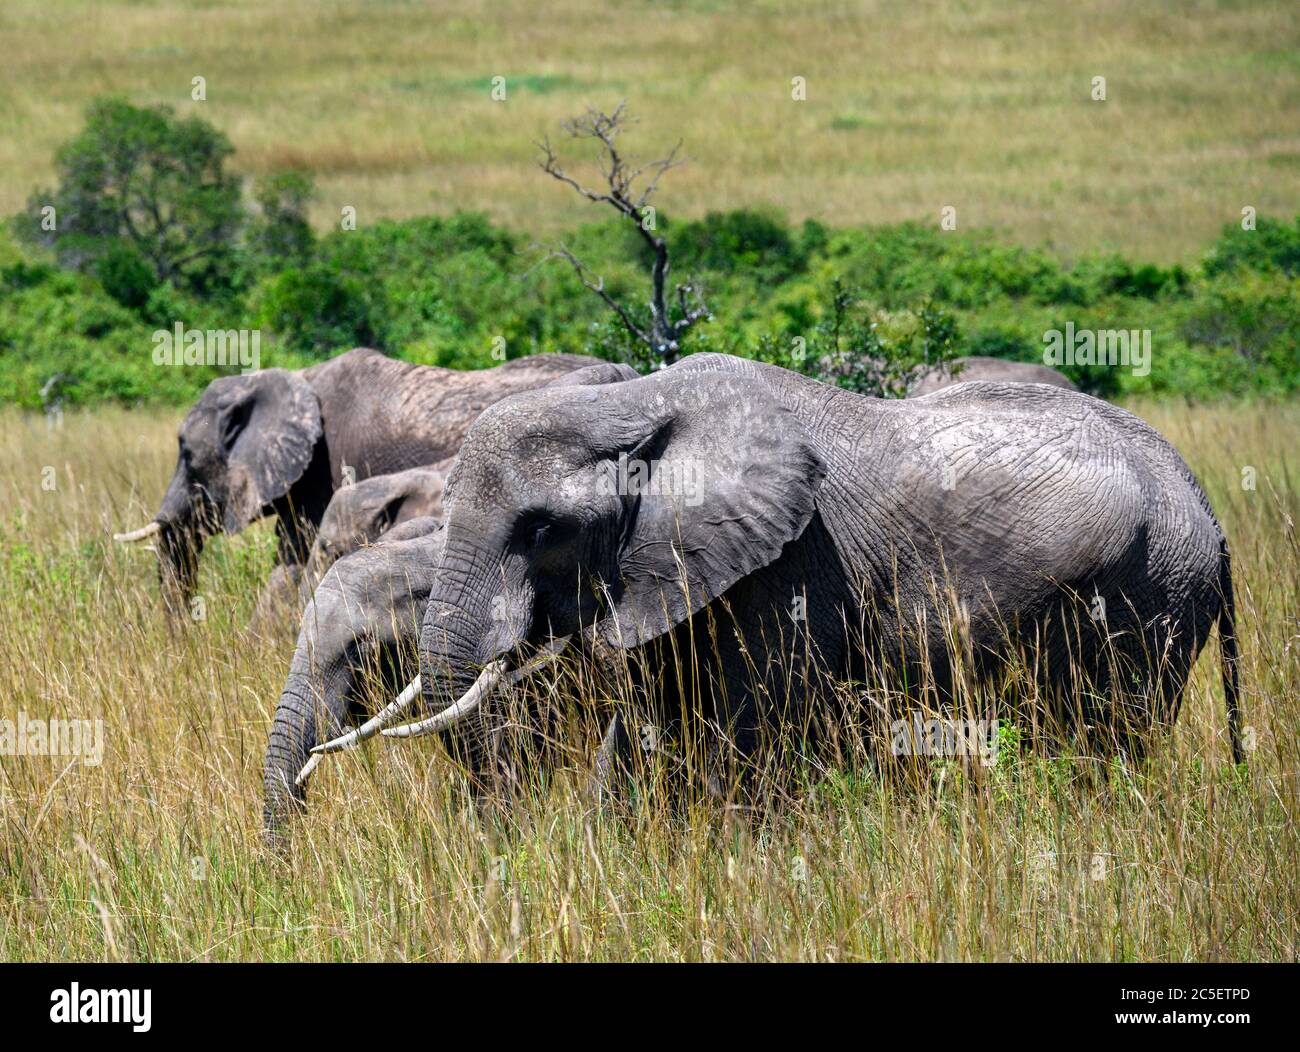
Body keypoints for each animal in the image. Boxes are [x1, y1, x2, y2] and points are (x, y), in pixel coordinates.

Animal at [111, 348, 598, 616]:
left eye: (187, 456)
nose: (184, 637)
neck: (296, 378)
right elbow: (291, 560)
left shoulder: (326, 468)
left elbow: (291, 562)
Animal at [356, 348, 1237, 801]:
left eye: (541, 530)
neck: (633, 405)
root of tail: (1210, 510)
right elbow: (649, 722)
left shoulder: (794, 565)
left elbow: (753, 735)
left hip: (1151, 594)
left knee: (1107, 735)